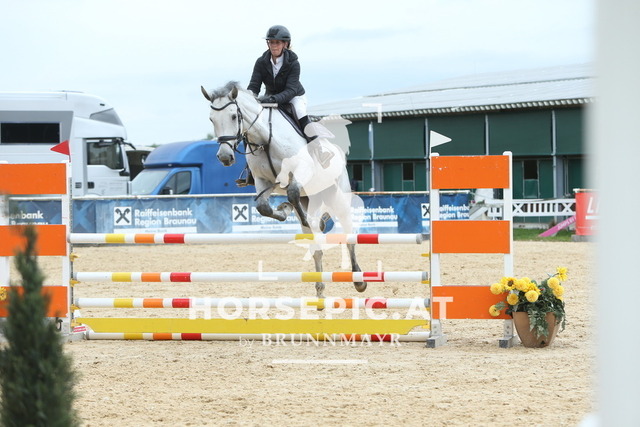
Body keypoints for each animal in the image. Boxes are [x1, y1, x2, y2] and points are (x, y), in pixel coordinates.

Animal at [201, 81, 364, 298]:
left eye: (234, 116)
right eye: (212, 119)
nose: (225, 157)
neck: (264, 139)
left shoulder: (301, 172)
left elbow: (292, 193)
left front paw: (295, 212)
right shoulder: (263, 181)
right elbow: (264, 207)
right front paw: (285, 210)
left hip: (338, 197)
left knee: (348, 235)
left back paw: (359, 280)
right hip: (311, 197)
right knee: (317, 248)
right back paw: (320, 290)